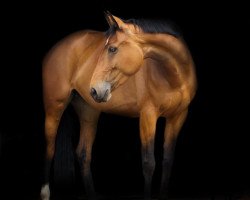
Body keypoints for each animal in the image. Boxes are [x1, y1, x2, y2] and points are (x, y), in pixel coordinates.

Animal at [40, 11, 197, 200]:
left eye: (112, 48)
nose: (94, 89)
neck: (172, 77)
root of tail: (56, 47)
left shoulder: (178, 117)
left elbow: (167, 161)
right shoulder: (148, 117)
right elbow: (149, 163)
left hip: (88, 111)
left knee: (83, 154)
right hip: (54, 108)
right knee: (49, 148)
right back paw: (45, 193)